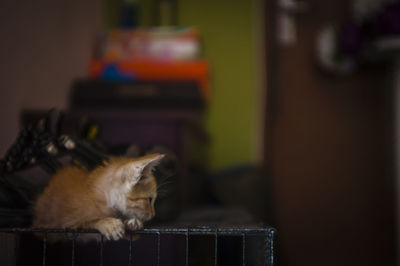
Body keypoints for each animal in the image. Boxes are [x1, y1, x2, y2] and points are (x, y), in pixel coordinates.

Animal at [31, 153, 162, 240]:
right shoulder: (70, 222)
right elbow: (89, 221)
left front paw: (133, 223)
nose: (153, 215)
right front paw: (108, 223)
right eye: (150, 200)